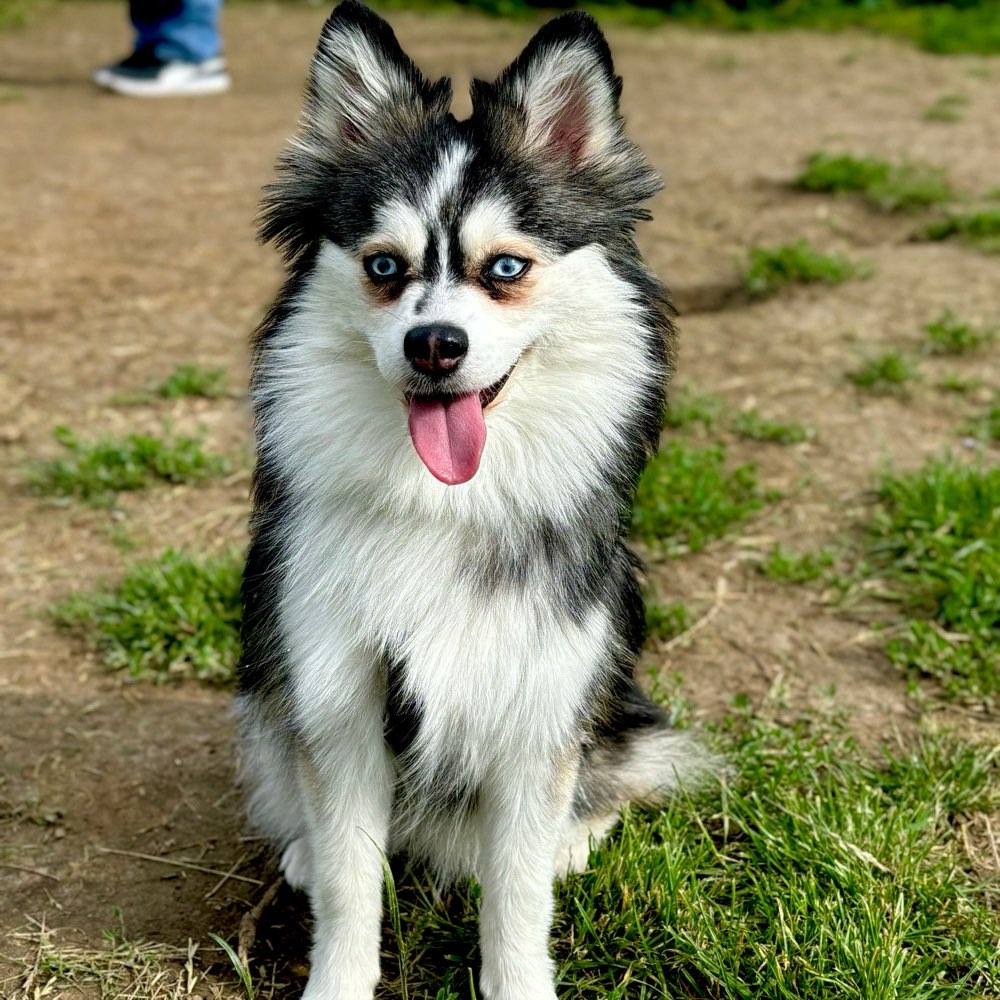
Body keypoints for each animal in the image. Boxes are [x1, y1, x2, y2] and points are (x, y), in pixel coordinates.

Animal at [236, 3, 704, 996]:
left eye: (505, 269)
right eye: (383, 267)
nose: (435, 344)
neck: (441, 505)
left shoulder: (537, 711)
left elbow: (517, 894)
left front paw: (518, 975)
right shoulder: (338, 699)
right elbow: (349, 883)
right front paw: (336, 975)